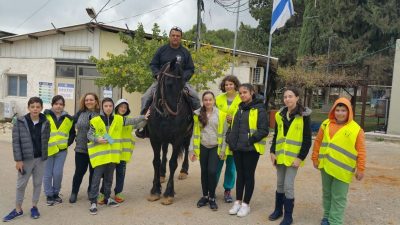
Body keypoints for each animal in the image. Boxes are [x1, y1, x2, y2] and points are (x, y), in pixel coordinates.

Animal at [147, 58, 194, 206]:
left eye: (183, 84)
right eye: (169, 84)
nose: (174, 112)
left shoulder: (177, 139)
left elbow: (173, 163)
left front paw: (168, 193)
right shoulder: (154, 138)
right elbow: (156, 161)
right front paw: (155, 189)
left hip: (187, 135)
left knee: (185, 150)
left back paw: (184, 171)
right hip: (164, 139)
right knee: (165, 151)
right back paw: (162, 174)